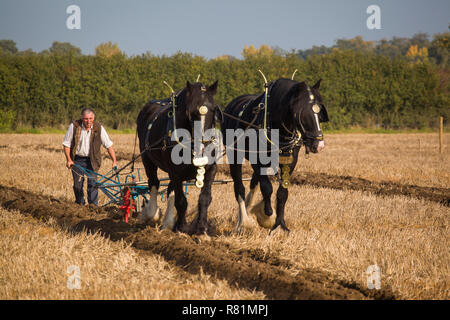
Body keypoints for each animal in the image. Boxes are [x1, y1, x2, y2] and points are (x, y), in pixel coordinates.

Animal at [137, 80, 221, 235]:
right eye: (190, 112)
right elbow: (181, 201)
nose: (202, 146)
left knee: (170, 190)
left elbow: (205, 198)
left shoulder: (211, 169)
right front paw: (181, 228)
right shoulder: (176, 172)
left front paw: (201, 230)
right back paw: (152, 213)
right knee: (154, 182)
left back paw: (168, 222)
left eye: (213, 110)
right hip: (147, 158)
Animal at [223, 77, 328, 232]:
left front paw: (280, 224)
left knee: (254, 183)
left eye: (319, 112)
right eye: (303, 113)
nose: (319, 145)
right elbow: (267, 188)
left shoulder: (290, 160)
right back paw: (243, 222)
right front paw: (266, 215)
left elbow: (282, 193)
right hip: (234, 154)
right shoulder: (256, 159)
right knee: (239, 187)